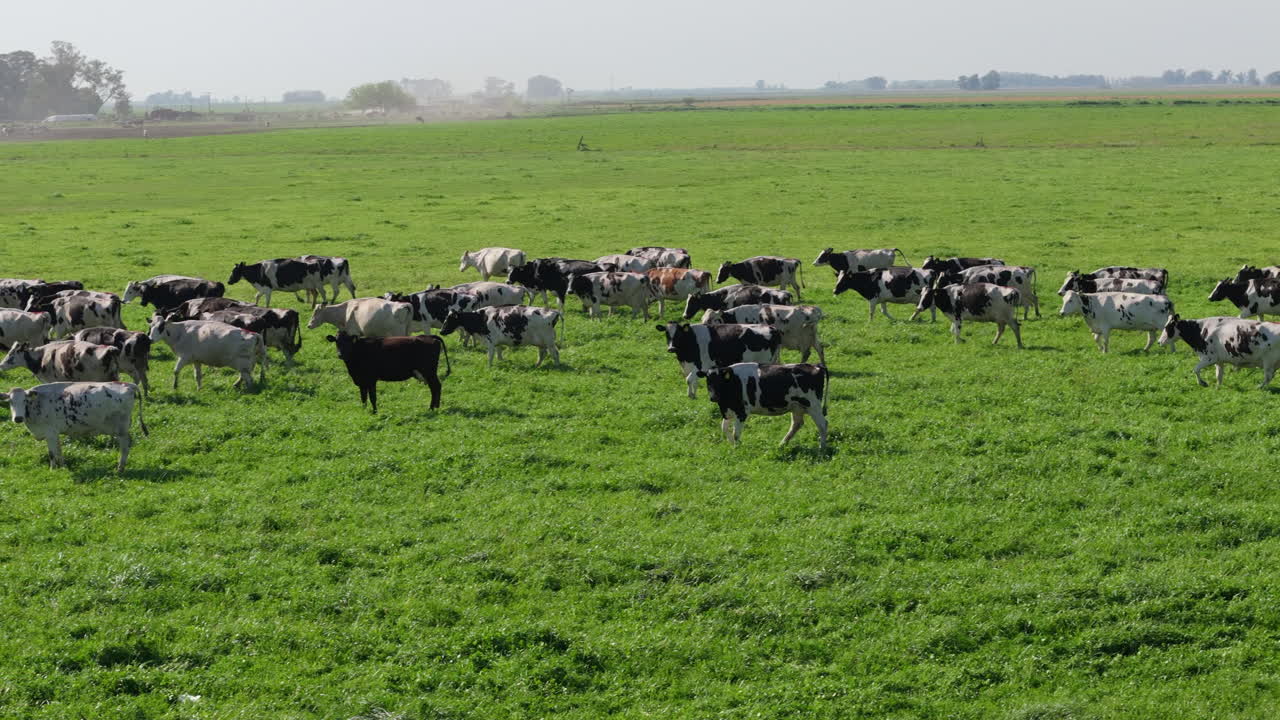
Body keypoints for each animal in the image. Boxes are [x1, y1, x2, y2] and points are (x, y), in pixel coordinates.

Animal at [0, 382, 147, 472]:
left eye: (25, 400)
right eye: (10, 401)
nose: (18, 418)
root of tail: (127, 384)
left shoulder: (50, 432)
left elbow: (52, 453)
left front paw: (52, 470)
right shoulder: (55, 433)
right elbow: (59, 451)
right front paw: (63, 467)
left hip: (121, 429)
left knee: (125, 446)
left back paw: (120, 469)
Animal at [697, 362, 828, 450]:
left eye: (719, 380)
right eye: (708, 380)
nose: (713, 397)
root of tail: (815, 366)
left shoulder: (741, 412)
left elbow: (736, 434)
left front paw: (737, 448)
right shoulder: (729, 411)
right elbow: (724, 428)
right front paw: (732, 445)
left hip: (813, 405)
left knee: (823, 424)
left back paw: (822, 448)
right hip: (797, 407)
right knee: (797, 424)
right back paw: (782, 444)